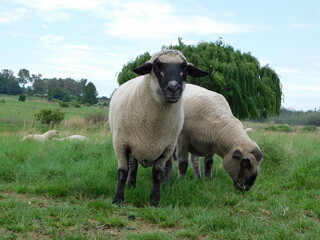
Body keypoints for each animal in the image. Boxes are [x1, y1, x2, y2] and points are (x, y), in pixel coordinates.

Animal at [107, 49, 208, 205]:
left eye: (184, 67)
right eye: (156, 66)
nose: (173, 88)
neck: (154, 126)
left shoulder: (167, 148)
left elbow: (157, 174)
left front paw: (154, 201)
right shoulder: (120, 144)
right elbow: (122, 172)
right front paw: (117, 200)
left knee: (167, 167)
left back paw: (165, 184)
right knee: (133, 166)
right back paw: (131, 185)